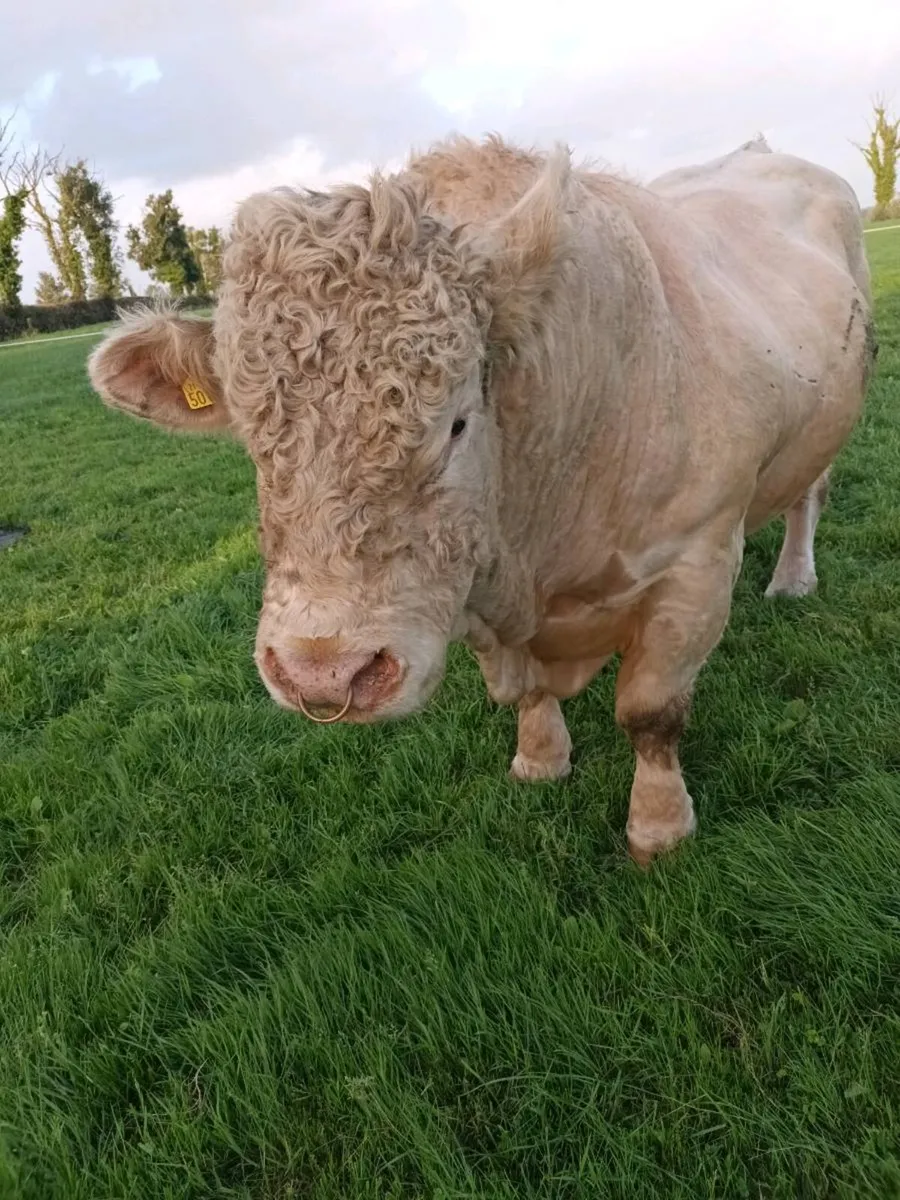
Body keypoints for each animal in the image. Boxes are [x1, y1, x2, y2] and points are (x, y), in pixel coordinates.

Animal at [87, 133, 875, 864]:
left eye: (457, 423)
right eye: (253, 439)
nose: (324, 671)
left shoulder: (697, 561)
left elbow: (651, 713)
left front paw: (659, 828)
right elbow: (529, 697)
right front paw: (539, 759)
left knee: (809, 494)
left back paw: (794, 578)